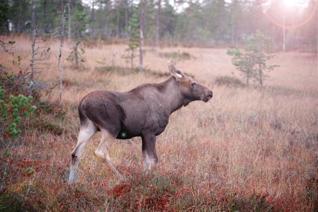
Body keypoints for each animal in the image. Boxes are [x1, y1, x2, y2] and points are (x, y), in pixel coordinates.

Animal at [68, 65, 212, 184]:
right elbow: (152, 160)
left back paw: (71, 183)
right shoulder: (149, 132)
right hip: (111, 128)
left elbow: (146, 160)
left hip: (88, 127)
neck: (170, 104)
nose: (210, 93)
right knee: (100, 152)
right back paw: (122, 178)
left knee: (75, 153)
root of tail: (82, 105)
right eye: (193, 83)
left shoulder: (143, 135)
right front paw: (146, 180)